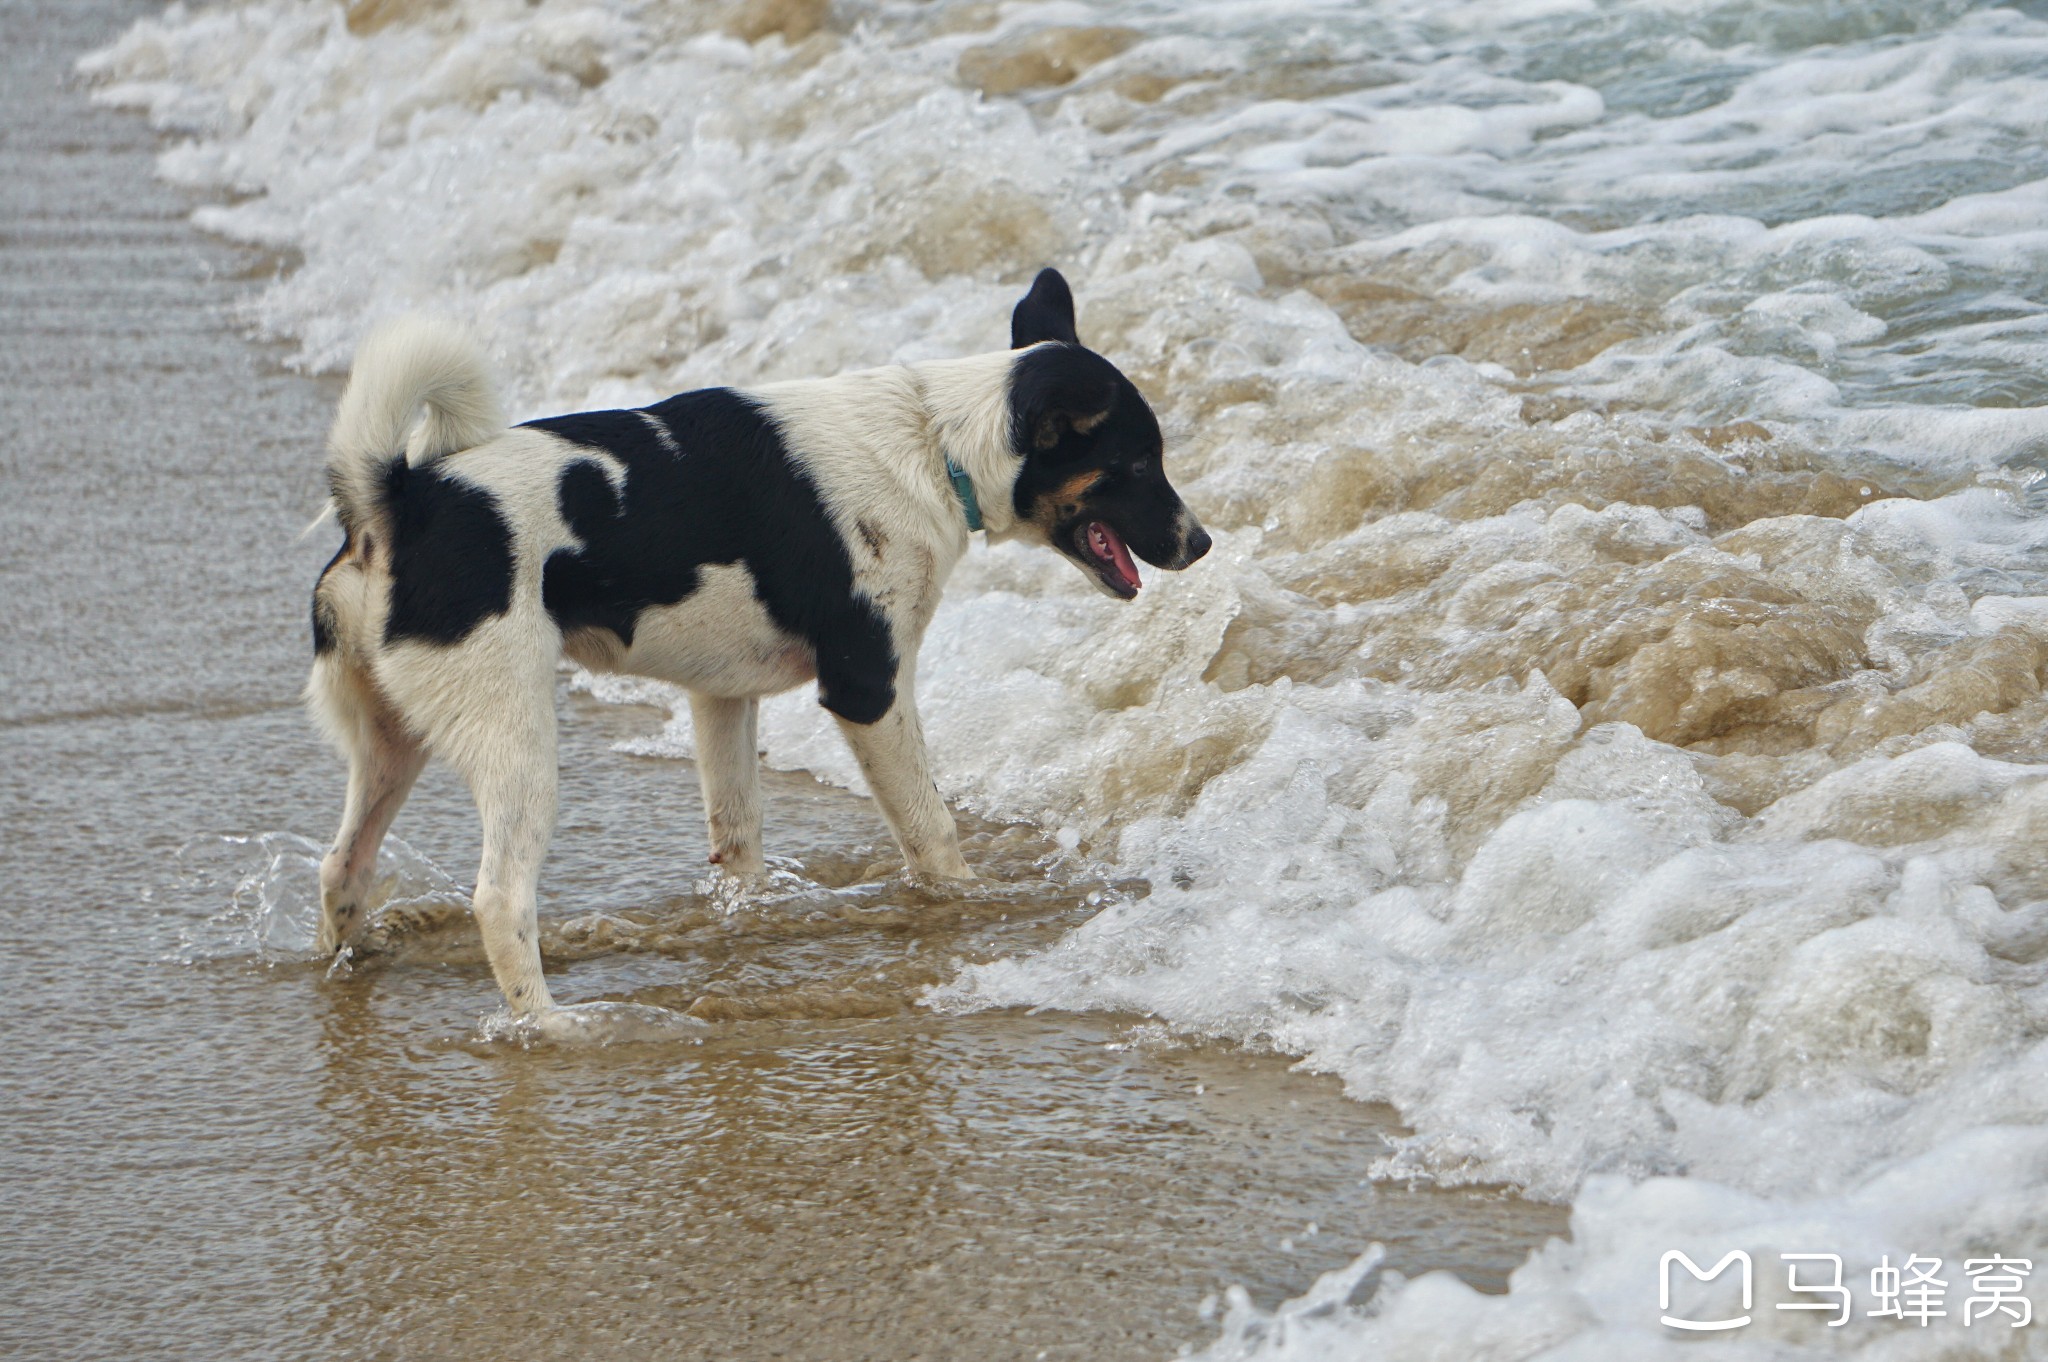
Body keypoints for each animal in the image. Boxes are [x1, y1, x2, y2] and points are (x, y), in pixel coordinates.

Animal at [309, 266, 1204, 1015]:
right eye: (1137, 464)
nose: (1200, 544)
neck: (933, 441)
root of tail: (400, 500)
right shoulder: (869, 691)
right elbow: (932, 833)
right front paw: (969, 908)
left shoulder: (721, 697)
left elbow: (738, 843)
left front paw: (748, 924)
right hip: (515, 739)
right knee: (499, 899)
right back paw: (549, 1024)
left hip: (390, 741)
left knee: (343, 866)